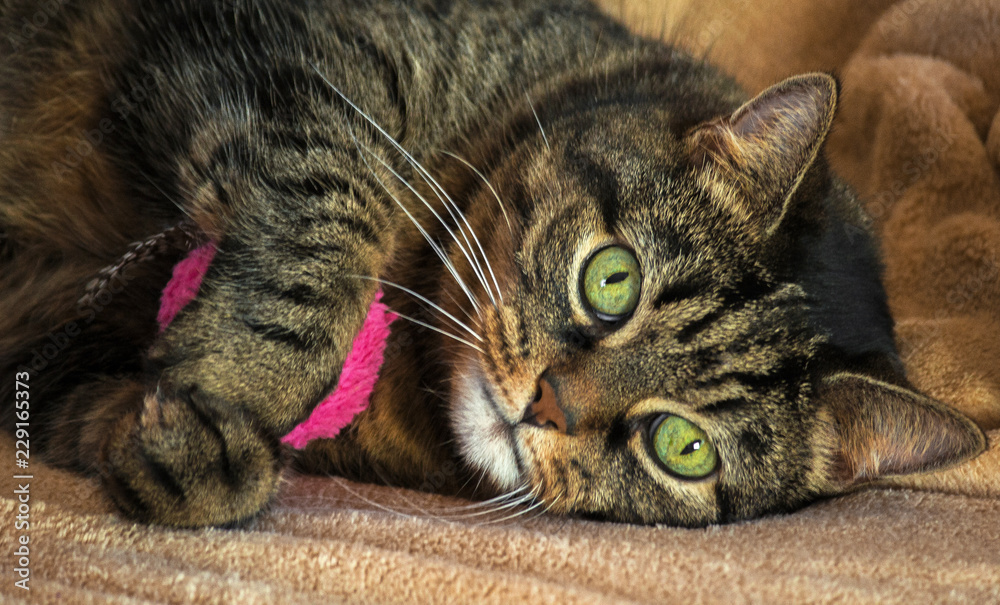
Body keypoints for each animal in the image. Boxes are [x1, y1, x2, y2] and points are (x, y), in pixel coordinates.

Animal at [0, 0, 984, 528]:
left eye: (683, 445)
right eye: (612, 280)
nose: (546, 404)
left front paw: (189, 442)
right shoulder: (312, 55)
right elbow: (338, 197)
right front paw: (239, 375)